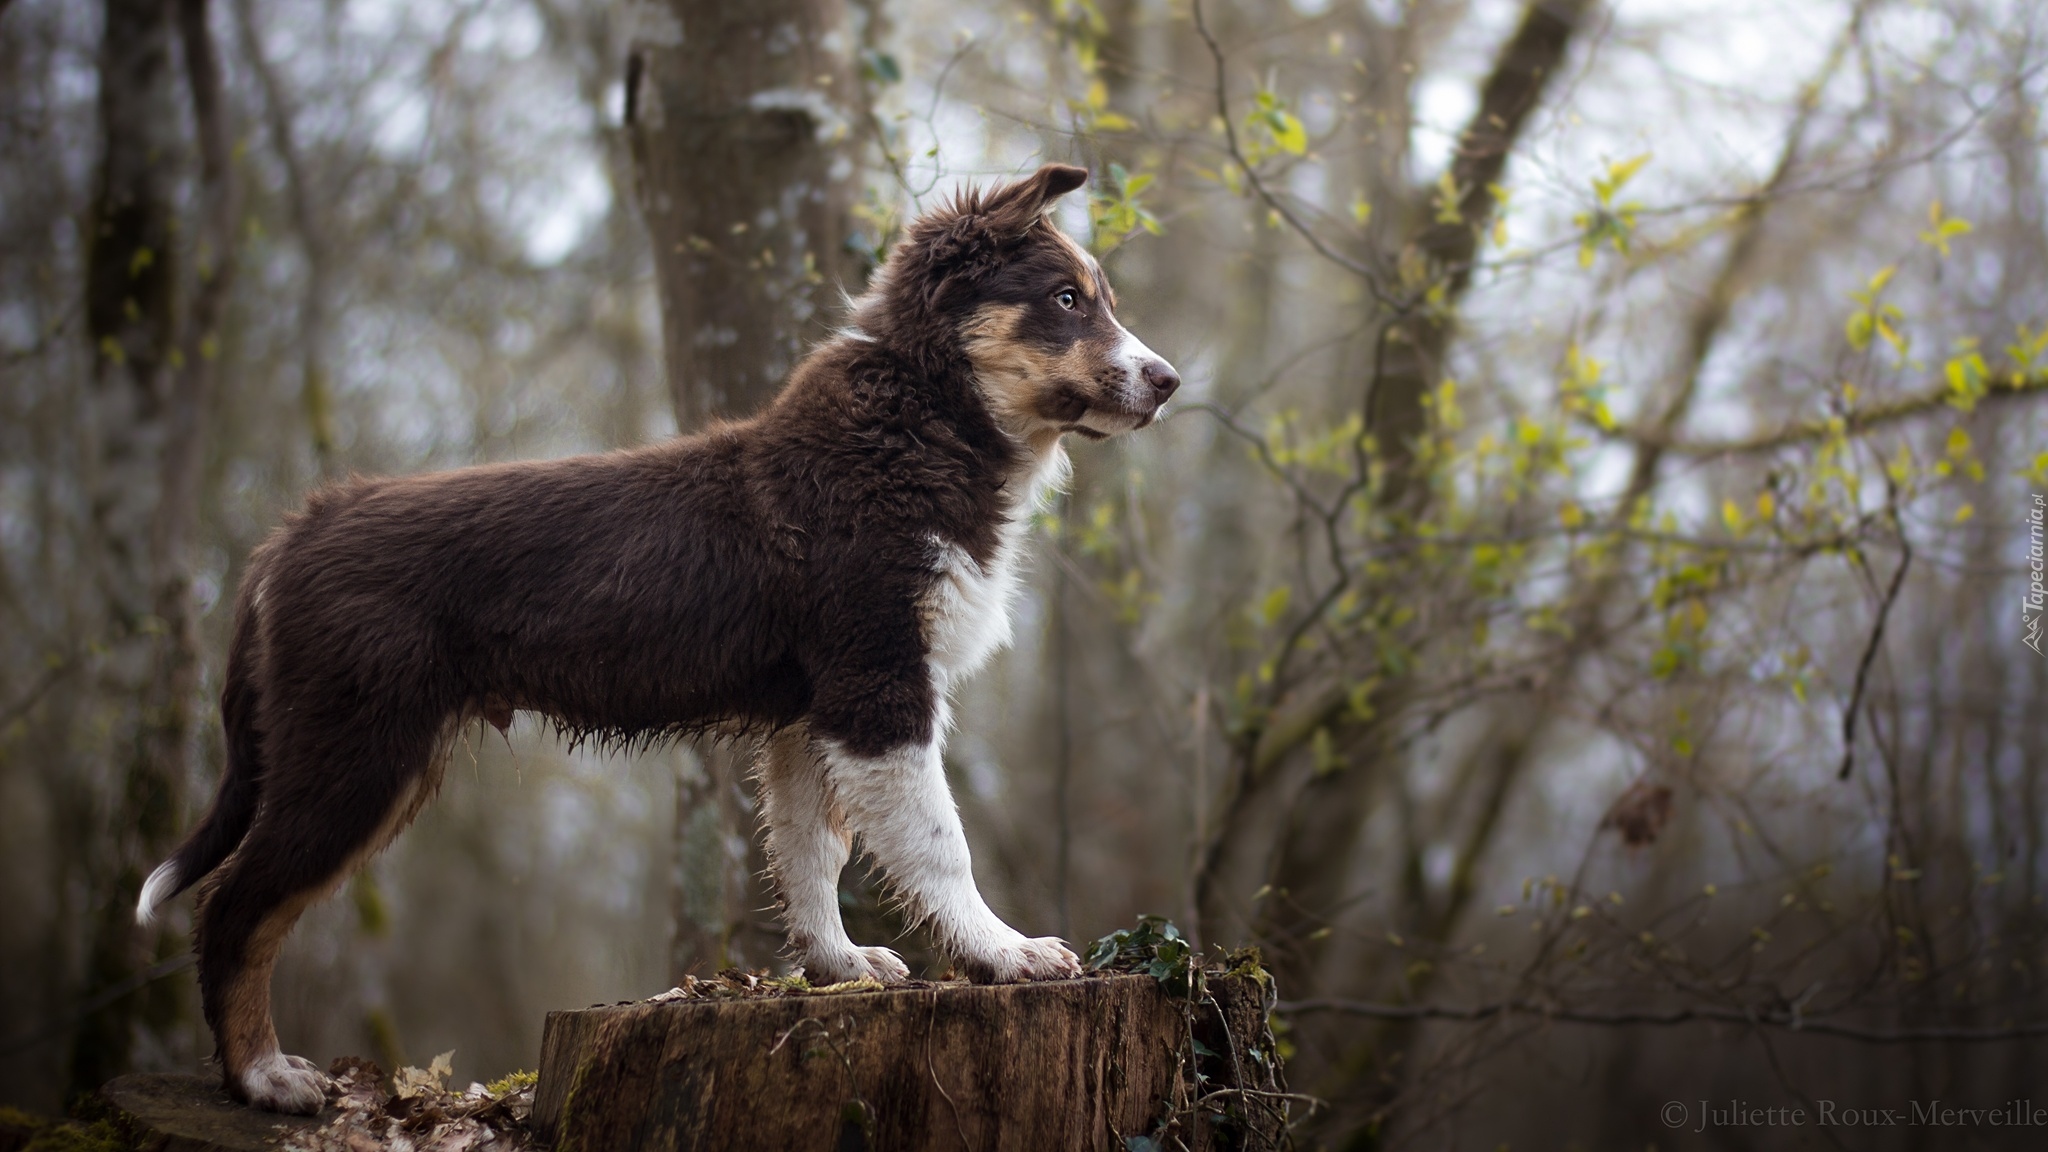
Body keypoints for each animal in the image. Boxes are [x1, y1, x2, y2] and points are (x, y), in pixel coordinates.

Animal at [132, 163, 1187, 1115]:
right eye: (1065, 301)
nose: (1170, 382)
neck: (924, 420)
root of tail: (293, 532)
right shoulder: (879, 682)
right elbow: (938, 842)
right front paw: (1006, 953)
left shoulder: (810, 714)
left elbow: (811, 851)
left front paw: (838, 965)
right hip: (354, 749)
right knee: (234, 910)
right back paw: (265, 1078)